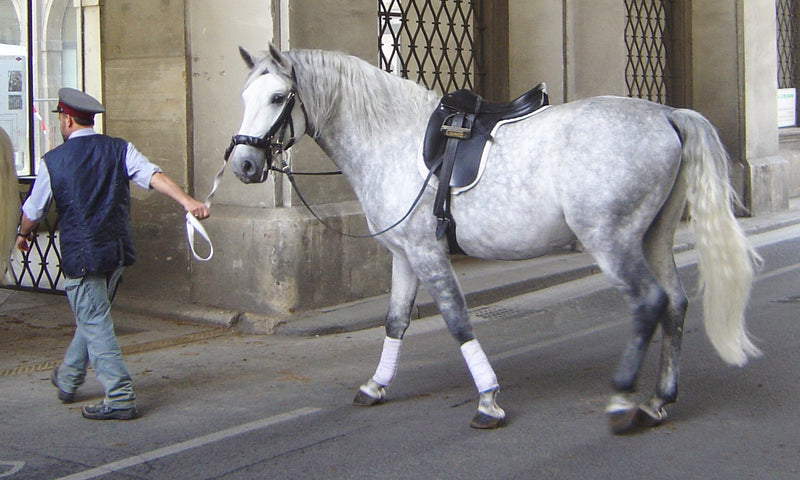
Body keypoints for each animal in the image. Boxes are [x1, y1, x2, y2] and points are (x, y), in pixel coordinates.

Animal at [225, 44, 761, 432]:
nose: (244, 165)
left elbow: (458, 322)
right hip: (654, 238)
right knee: (675, 304)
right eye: (245, 98)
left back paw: (623, 400)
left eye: (278, 98)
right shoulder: (404, 255)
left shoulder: (427, 253)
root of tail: (667, 115)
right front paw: (376, 385)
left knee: (649, 302)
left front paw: (488, 401)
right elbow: (395, 321)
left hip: (613, 242)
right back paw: (658, 400)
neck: (391, 137)